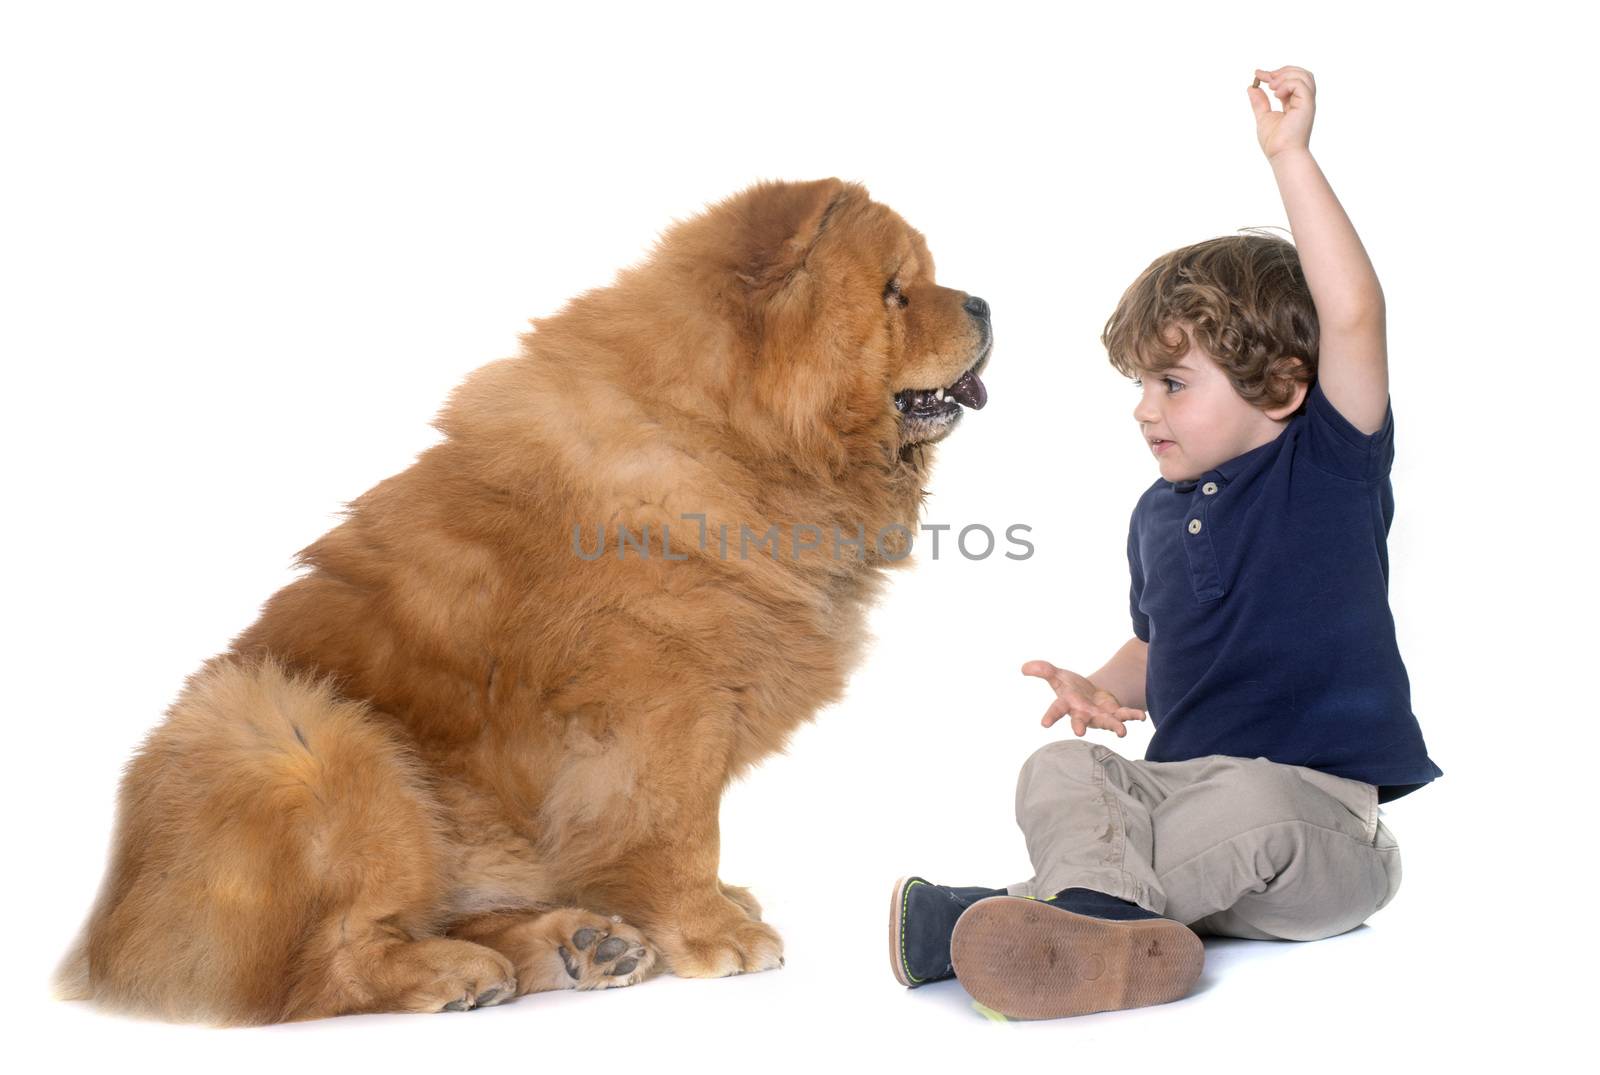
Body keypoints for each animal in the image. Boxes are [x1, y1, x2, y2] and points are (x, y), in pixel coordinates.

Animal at [53, 178, 985, 1023]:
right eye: (895, 291)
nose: (982, 300)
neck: (729, 438)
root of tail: (98, 944)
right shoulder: (662, 703)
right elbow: (679, 828)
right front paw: (716, 929)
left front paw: (714, 904)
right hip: (302, 740)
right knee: (321, 967)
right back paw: (460, 972)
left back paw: (580, 944)